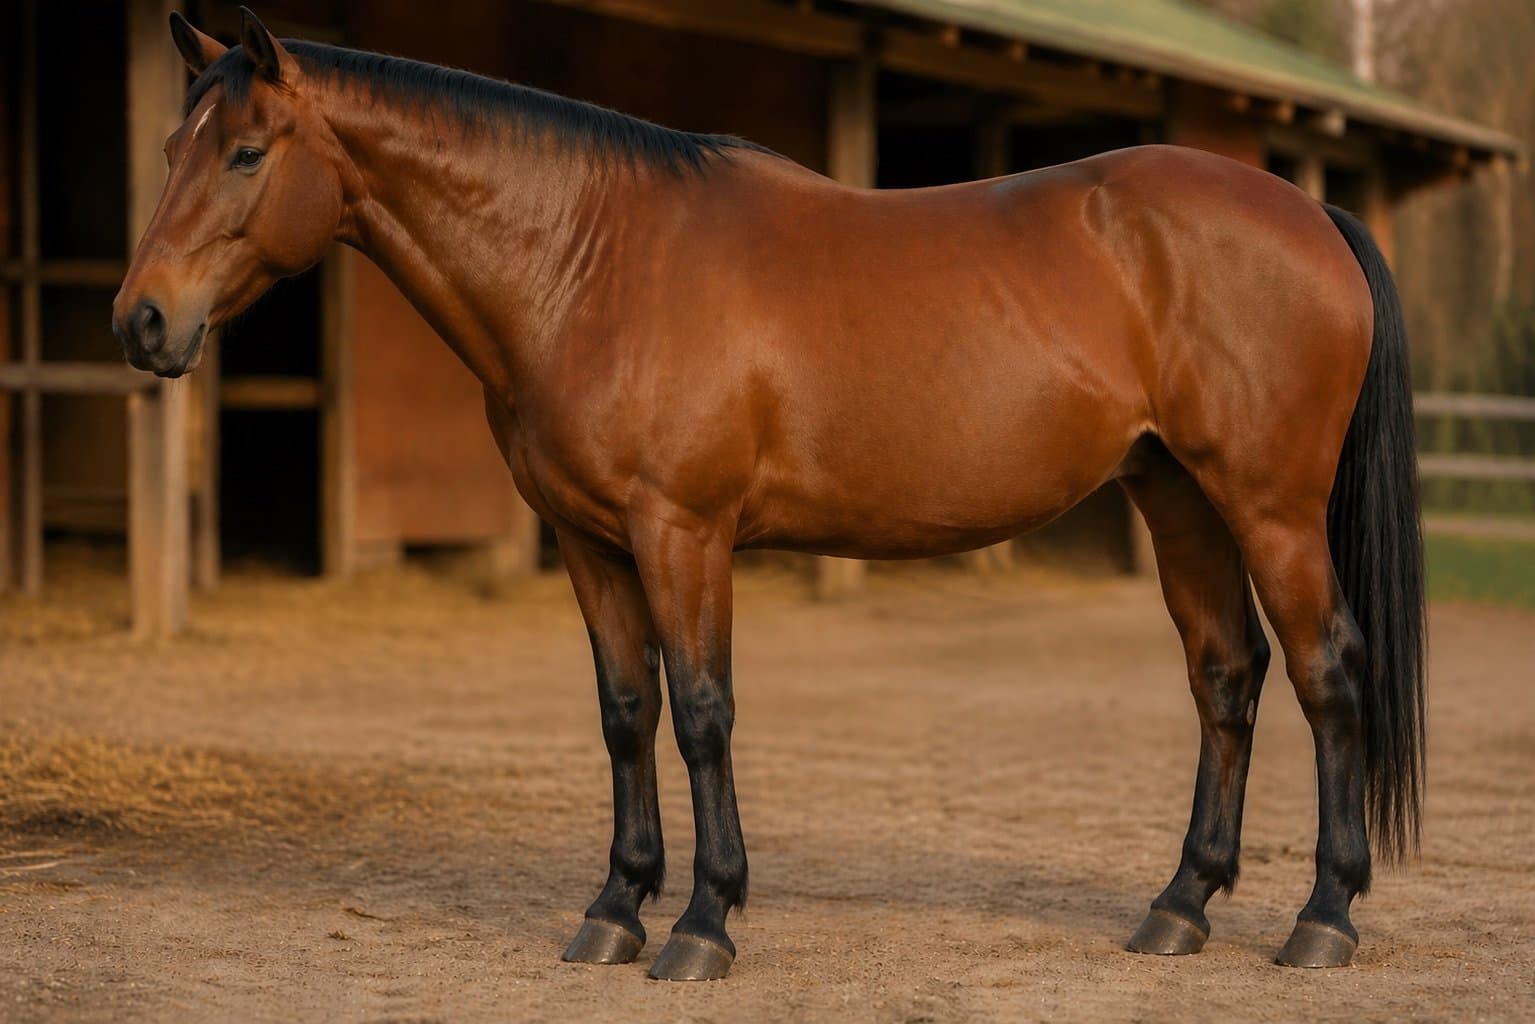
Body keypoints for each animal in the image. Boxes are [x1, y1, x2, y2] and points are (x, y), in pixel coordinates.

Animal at [114, 8, 1425, 982]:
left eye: (245, 153)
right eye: (171, 149)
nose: (143, 322)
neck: (594, 260)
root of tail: (1308, 211)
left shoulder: (681, 532)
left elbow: (702, 712)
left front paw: (702, 922)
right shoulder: (589, 541)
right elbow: (625, 714)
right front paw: (614, 909)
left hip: (1266, 509)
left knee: (1324, 673)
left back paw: (1322, 918)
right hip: (1177, 498)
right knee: (1224, 676)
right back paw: (1179, 904)